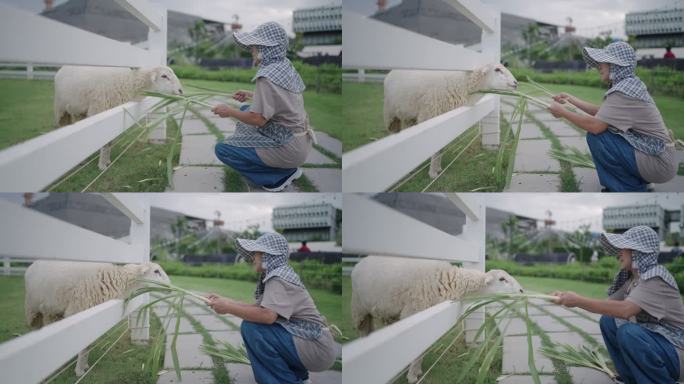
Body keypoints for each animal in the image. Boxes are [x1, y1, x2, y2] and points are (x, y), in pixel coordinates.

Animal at [26, 260, 171, 376]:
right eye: (156, 271)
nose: (170, 287)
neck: (116, 280)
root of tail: (34, 263)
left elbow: (88, 345)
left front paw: (84, 366)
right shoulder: (78, 312)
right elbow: (83, 346)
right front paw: (79, 371)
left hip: (50, 310)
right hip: (33, 309)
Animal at [53, 65, 183, 170]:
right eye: (164, 76)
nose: (181, 90)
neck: (129, 82)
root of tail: (62, 67)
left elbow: (110, 142)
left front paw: (107, 161)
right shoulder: (101, 112)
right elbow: (105, 143)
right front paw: (102, 166)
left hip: (79, 111)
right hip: (60, 108)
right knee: (61, 126)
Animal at [352, 255, 524, 384]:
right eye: (502, 279)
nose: (522, 291)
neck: (451, 280)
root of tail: (361, 261)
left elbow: (423, 349)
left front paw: (416, 370)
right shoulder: (414, 312)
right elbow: (417, 350)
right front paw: (412, 377)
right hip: (359, 307)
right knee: (363, 329)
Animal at [384, 63, 520, 179]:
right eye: (497, 70)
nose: (516, 83)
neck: (463, 86)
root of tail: (392, 71)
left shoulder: (446, 122)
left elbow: (441, 148)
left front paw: (438, 168)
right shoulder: (432, 116)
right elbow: (435, 149)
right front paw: (433, 174)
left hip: (409, 116)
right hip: (390, 113)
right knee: (393, 132)